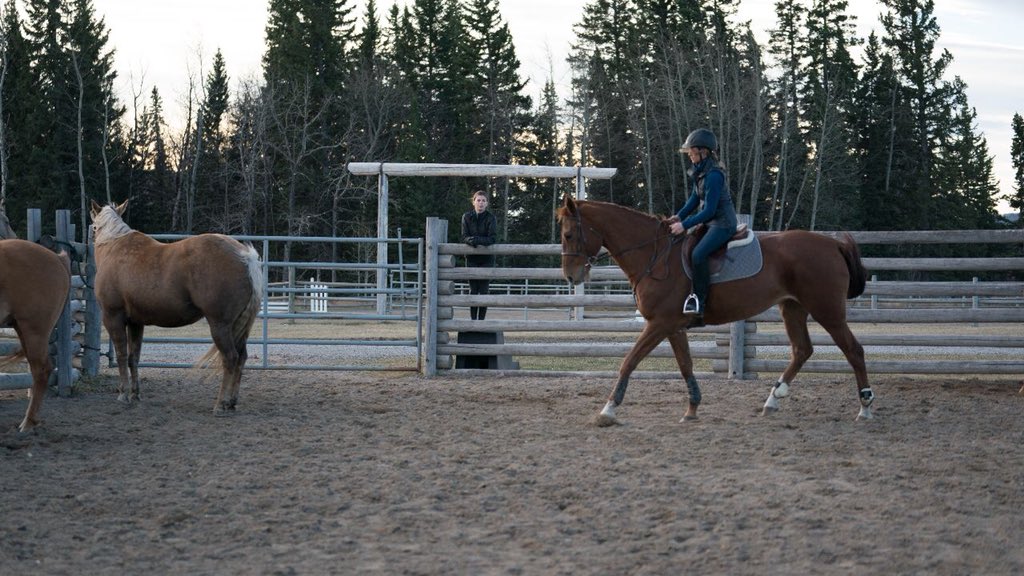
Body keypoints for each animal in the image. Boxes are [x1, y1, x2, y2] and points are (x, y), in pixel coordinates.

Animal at [89, 200, 263, 412]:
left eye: (93, 227)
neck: (113, 247)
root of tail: (245, 256)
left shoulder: (113, 317)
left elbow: (122, 355)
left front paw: (123, 394)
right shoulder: (136, 322)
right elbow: (133, 358)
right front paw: (135, 394)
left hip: (220, 325)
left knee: (230, 358)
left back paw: (220, 404)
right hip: (238, 326)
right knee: (241, 358)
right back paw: (231, 403)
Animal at [557, 194, 873, 424]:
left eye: (569, 235)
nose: (571, 277)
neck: (654, 255)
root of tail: (832, 244)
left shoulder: (658, 324)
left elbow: (629, 361)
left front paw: (609, 409)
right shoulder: (671, 326)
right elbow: (685, 364)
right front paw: (692, 409)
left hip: (827, 311)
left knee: (854, 350)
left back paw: (865, 407)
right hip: (793, 308)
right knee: (802, 350)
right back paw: (773, 400)